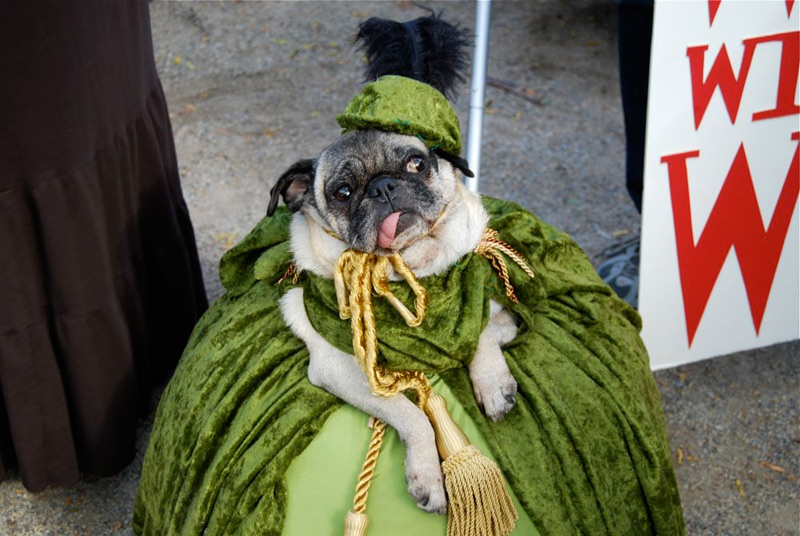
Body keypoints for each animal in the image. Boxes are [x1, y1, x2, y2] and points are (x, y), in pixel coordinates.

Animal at [268, 127, 520, 512]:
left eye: (416, 163)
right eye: (343, 192)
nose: (383, 186)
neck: (410, 270)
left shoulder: (497, 308)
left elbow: (482, 326)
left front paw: (493, 384)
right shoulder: (341, 369)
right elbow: (413, 416)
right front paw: (427, 476)